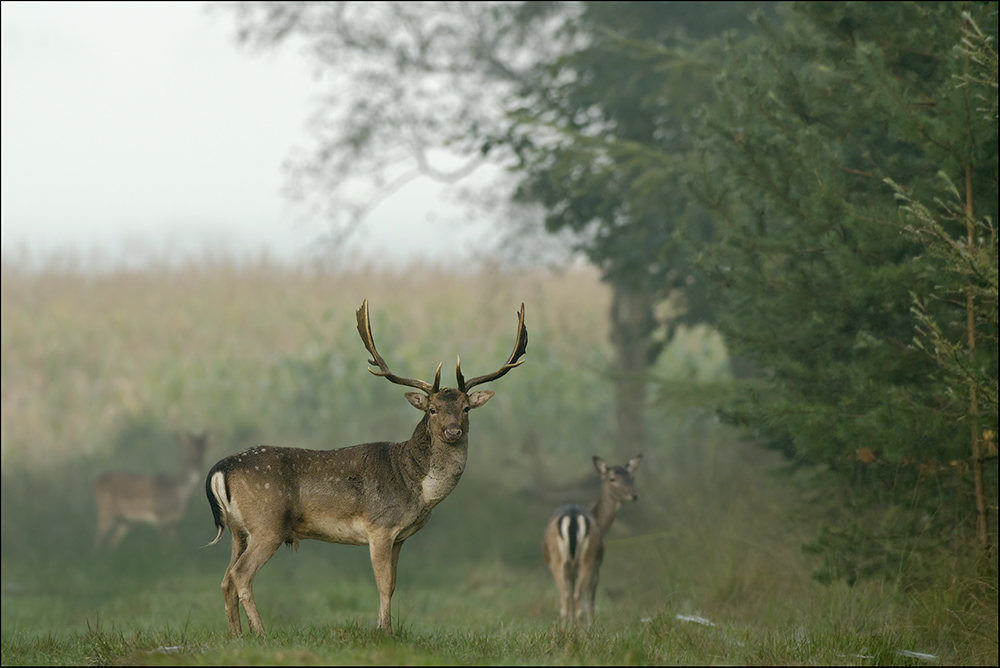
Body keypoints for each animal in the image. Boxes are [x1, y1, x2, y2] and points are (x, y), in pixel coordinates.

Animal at [206, 300, 528, 636]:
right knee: (241, 574)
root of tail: (220, 469)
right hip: (268, 524)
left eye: (466, 408)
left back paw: (237, 635)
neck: (416, 488)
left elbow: (394, 583)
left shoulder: (399, 536)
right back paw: (261, 633)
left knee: (226, 578)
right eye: (432, 409)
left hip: (238, 530)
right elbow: (384, 584)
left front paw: (382, 627)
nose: (453, 431)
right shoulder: (380, 527)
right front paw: (385, 632)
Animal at [544, 456, 644, 628]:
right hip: (587, 560)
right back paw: (581, 632)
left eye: (631, 478)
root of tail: (573, 516)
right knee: (578, 597)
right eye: (612, 479)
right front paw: (591, 630)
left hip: (559, 562)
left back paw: (566, 631)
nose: (633, 495)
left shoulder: (571, 571)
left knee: (566, 596)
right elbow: (591, 601)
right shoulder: (597, 568)